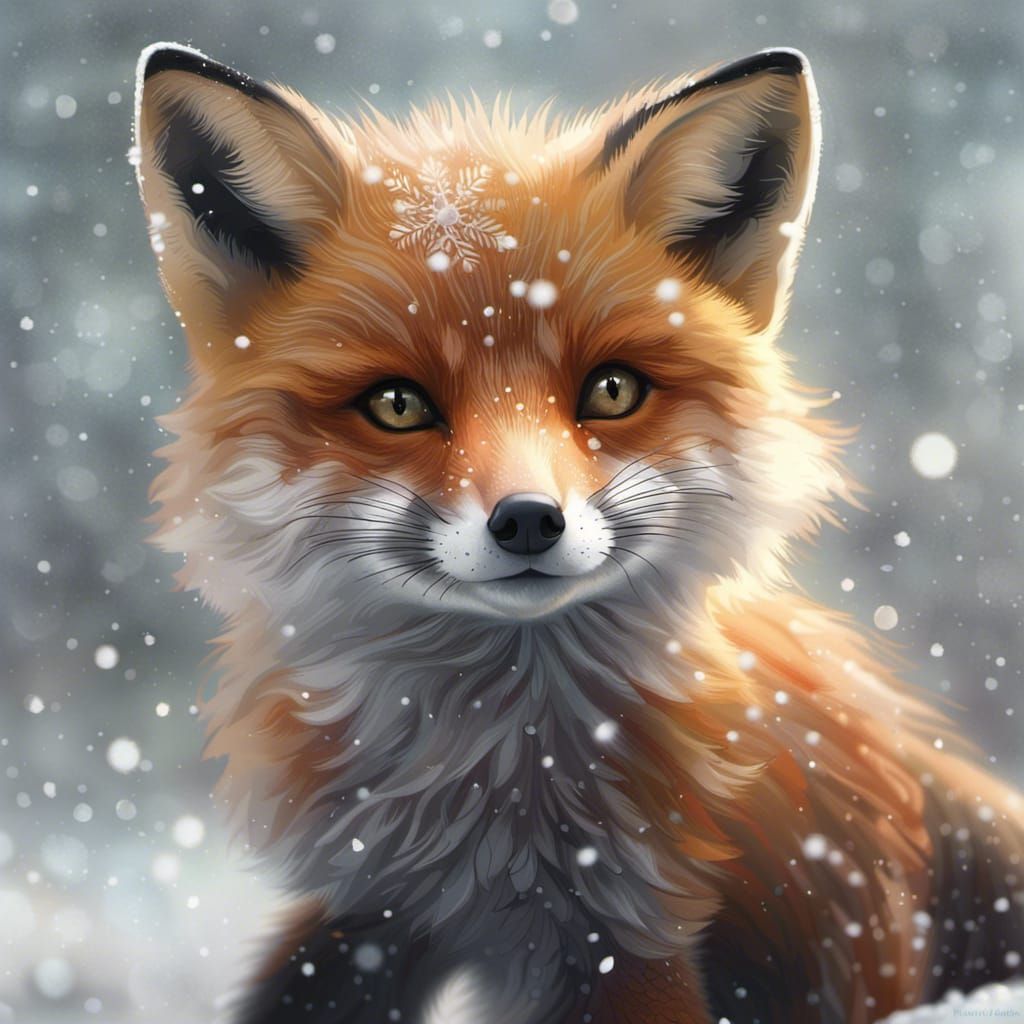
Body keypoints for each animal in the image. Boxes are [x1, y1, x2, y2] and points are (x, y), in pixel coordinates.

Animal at [131, 41, 1024, 1024]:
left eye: (612, 390)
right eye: (398, 404)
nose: (528, 520)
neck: (497, 781)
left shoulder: (633, 930)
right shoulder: (365, 910)